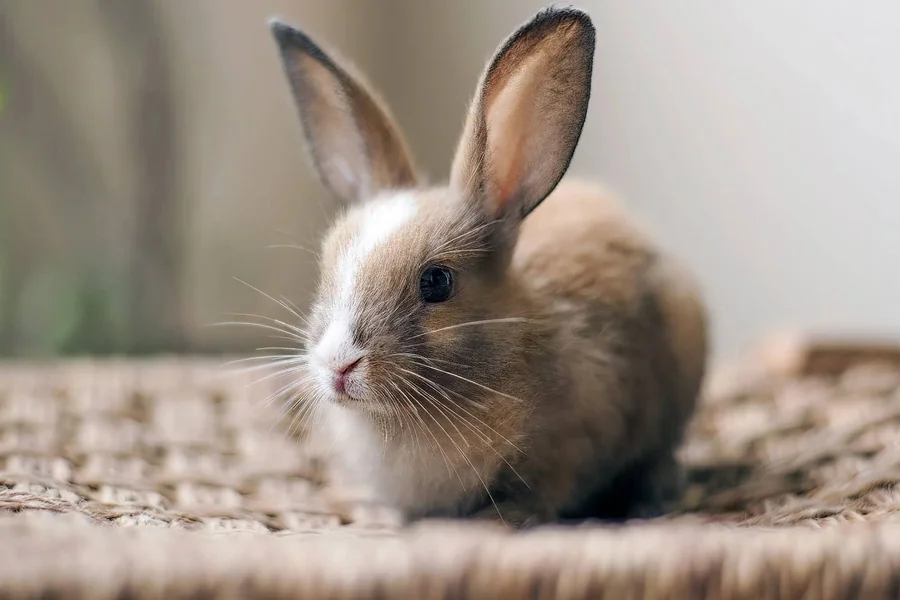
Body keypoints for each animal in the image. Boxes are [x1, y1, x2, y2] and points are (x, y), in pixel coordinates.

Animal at [267, 5, 709, 527]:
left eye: (437, 282)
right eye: (326, 267)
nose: (339, 364)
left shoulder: (572, 445)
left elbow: (546, 493)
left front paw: (499, 519)